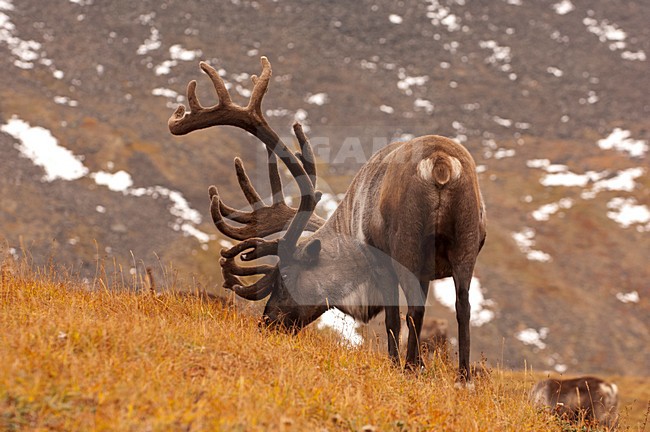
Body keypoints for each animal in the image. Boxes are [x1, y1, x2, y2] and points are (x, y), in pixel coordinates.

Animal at [168, 56, 487, 384]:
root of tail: (440, 162)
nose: (267, 323)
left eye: (284, 276)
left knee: (416, 309)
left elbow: (393, 320)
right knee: (463, 306)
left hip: (407, 244)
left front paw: (399, 365)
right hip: (466, 245)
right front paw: (419, 365)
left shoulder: (382, 262)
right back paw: (463, 376)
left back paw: (410, 368)